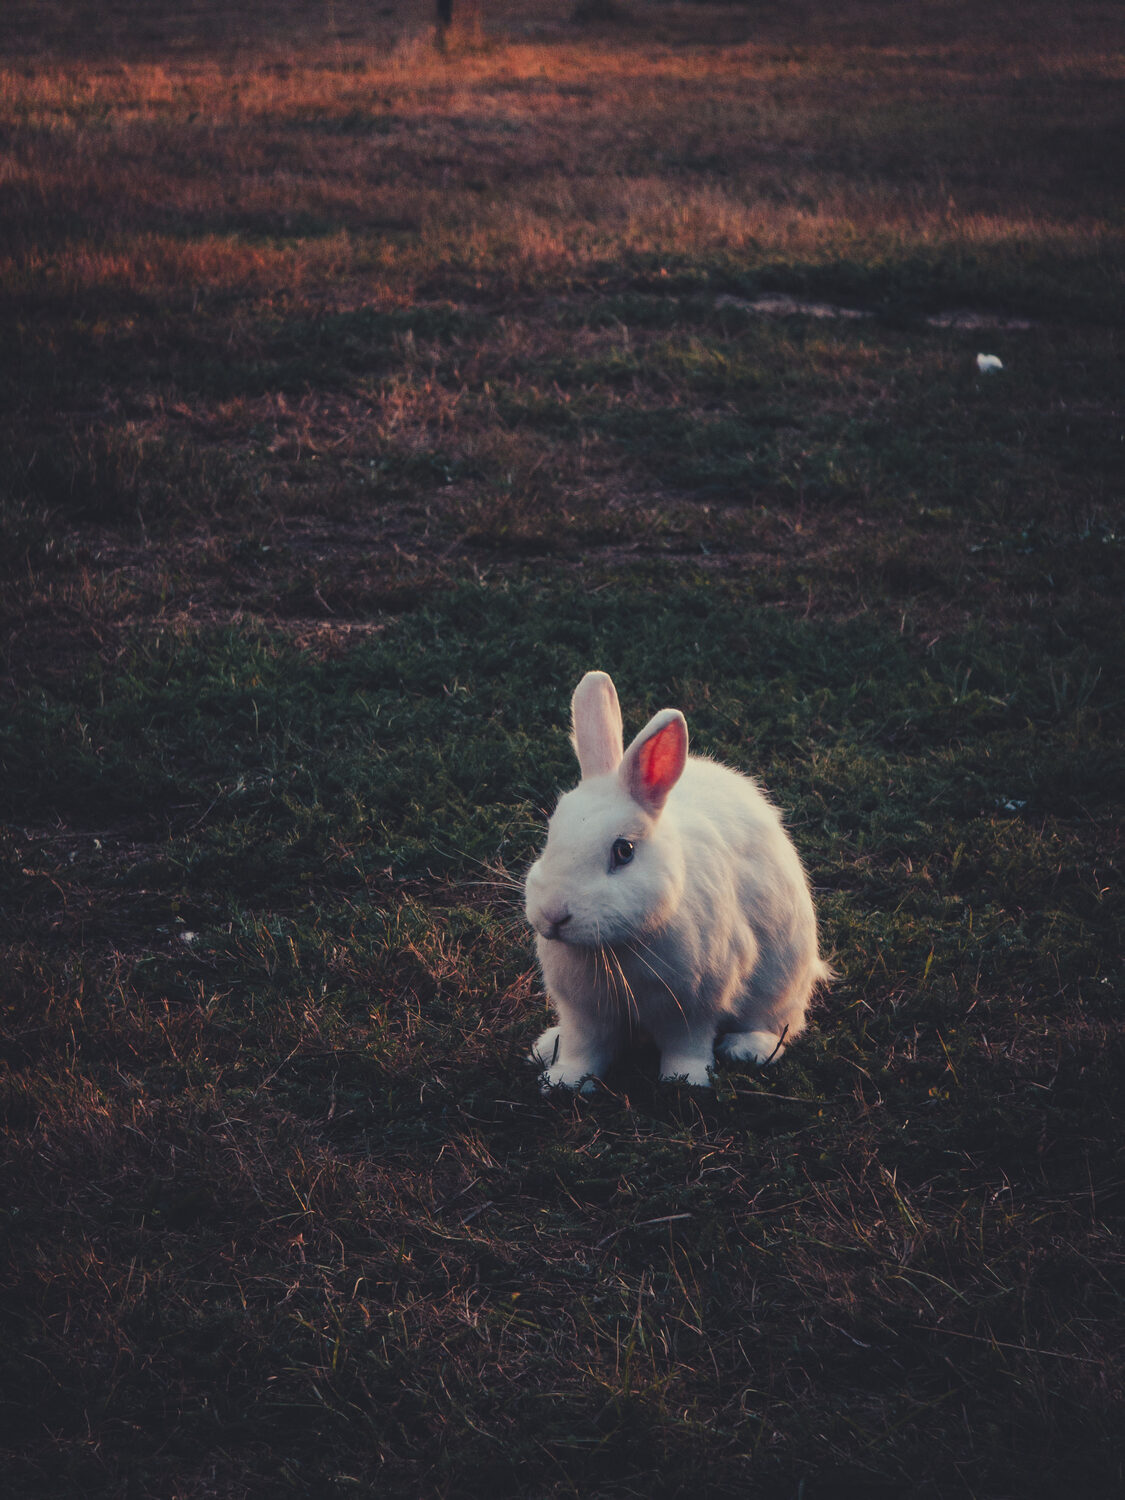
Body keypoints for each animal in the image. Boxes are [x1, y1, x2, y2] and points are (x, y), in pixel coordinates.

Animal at [523, 670, 830, 1091]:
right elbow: (582, 1048)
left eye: (624, 851)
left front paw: (684, 1080)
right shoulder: (583, 1012)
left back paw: (746, 1048)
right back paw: (545, 1045)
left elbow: (688, 1044)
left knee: (779, 1025)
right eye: (550, 835)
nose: (554, 915)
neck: (616, 948)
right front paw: (563, 1080)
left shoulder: (694, 1005)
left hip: (784, 979)